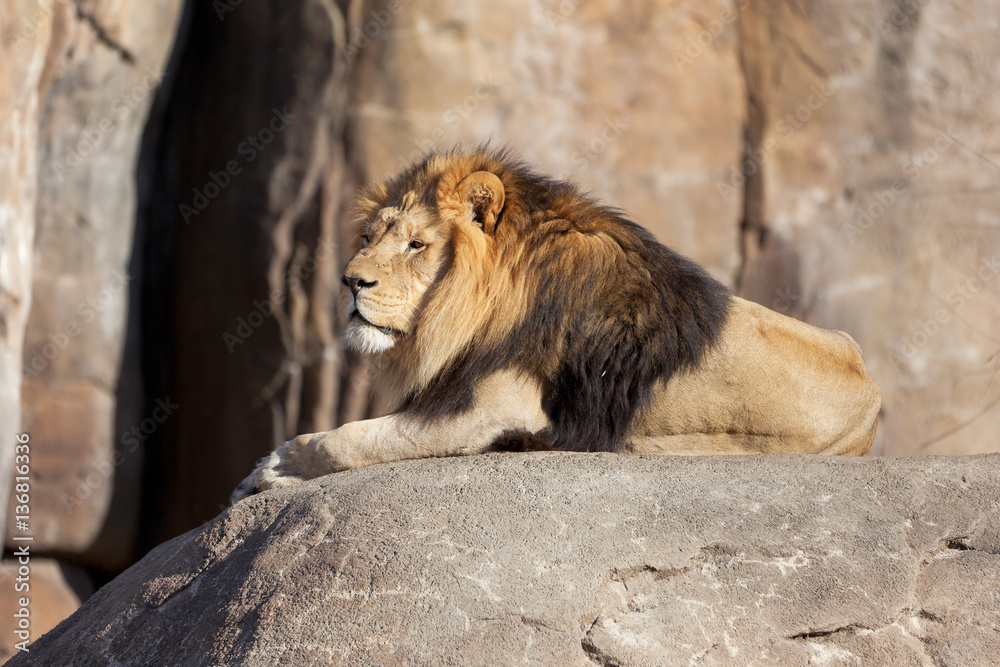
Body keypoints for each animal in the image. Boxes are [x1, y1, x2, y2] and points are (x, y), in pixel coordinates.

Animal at [231, 147, 881, 503]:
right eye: (368, 237)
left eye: (417, 245)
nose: (349, 282)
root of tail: (872, 388)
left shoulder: (492, 406)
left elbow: (348, 439)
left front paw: (272, 468)